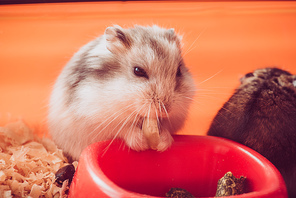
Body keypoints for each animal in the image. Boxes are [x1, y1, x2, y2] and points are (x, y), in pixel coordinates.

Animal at [48, 24, 195, 161]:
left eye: (179, 71)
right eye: (138, 71)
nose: (166, 110)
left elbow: (166, 128)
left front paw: (162, 145)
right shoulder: (97, 120)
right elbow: (123, 129)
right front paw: (141, 145)